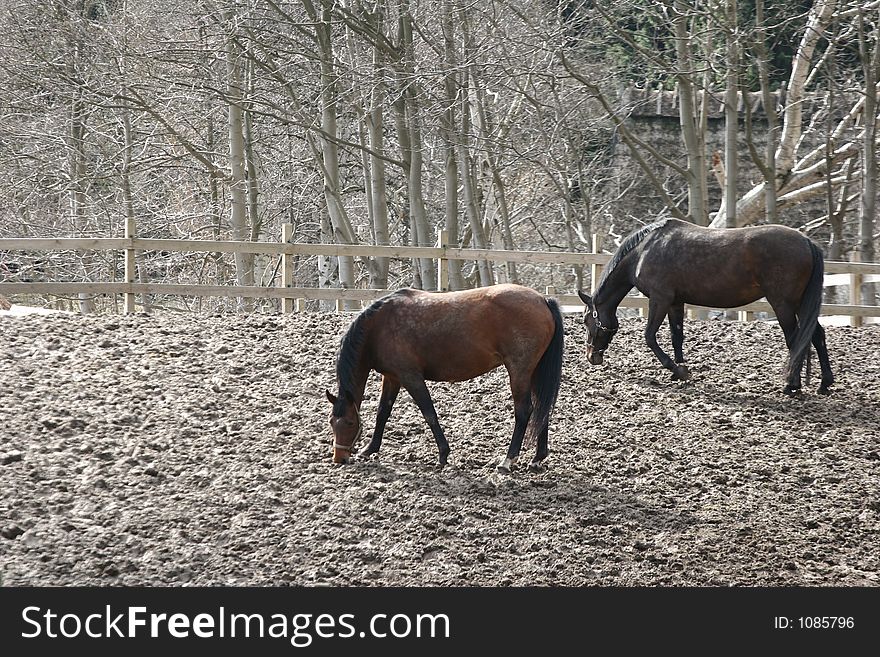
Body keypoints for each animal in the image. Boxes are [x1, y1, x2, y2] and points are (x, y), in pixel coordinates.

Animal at [324, 282, 564, 472]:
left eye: (349, 422)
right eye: (331, 422)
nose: (339, 458)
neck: (379, 326)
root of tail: (543, 300)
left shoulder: (411, 377)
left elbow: (429, 413)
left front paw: (443, 455)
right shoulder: (392, 378)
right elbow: (383, 413)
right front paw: (370, 449)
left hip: (519, 371)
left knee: (524, 411)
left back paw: (507, 460)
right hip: (534, 371)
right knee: (541, 408)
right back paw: (537, 458)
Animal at [576, 219, 832, 394]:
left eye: (587, 320)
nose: (591, 356)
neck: (644, 252)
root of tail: (807, 242)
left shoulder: (660, 299)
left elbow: (649, 337)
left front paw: (677, 369)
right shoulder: (675, 302)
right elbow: (676, 337)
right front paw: (679, 370)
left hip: (784, 304)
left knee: (795, 339)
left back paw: (792, 385)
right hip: (799, 303)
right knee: (817, 335)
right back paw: (824, 383)